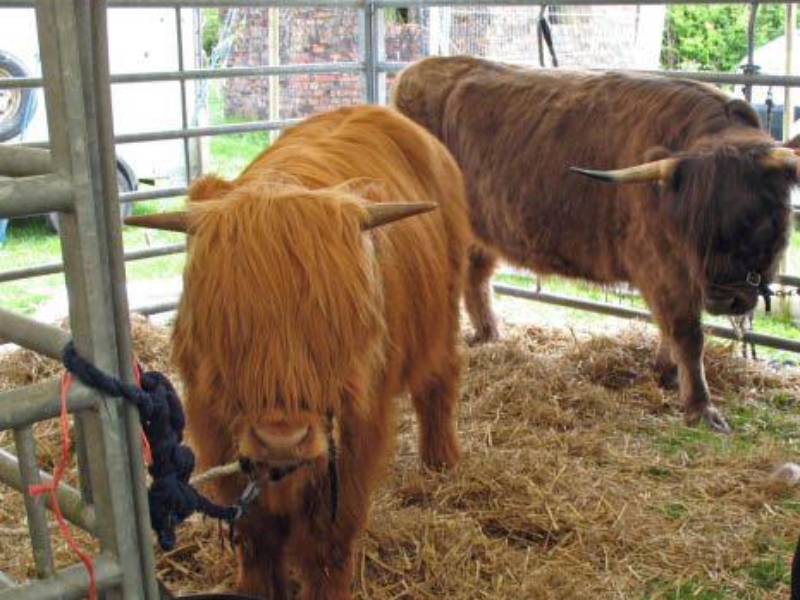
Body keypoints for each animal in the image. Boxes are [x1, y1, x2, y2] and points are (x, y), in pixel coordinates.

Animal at [125, 104, 470, 600]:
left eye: (335, 326)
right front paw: (257, 586)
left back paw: (440, 461)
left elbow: (327, 543)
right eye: (229, 324)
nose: (281, 441)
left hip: (442, 317)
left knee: (439, 383)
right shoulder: (218, 428)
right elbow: (255, 533)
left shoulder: (354, 435)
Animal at [392, 55, 799, 433]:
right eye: (690, 228)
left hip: (477, 232)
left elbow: (674, 328)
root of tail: (414, 73)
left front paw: (666, 373)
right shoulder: (659, 263)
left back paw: (489, 335)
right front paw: (701, 408)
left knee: (474, 279)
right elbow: (686, 331)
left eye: (762, 217)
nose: (723, 300)